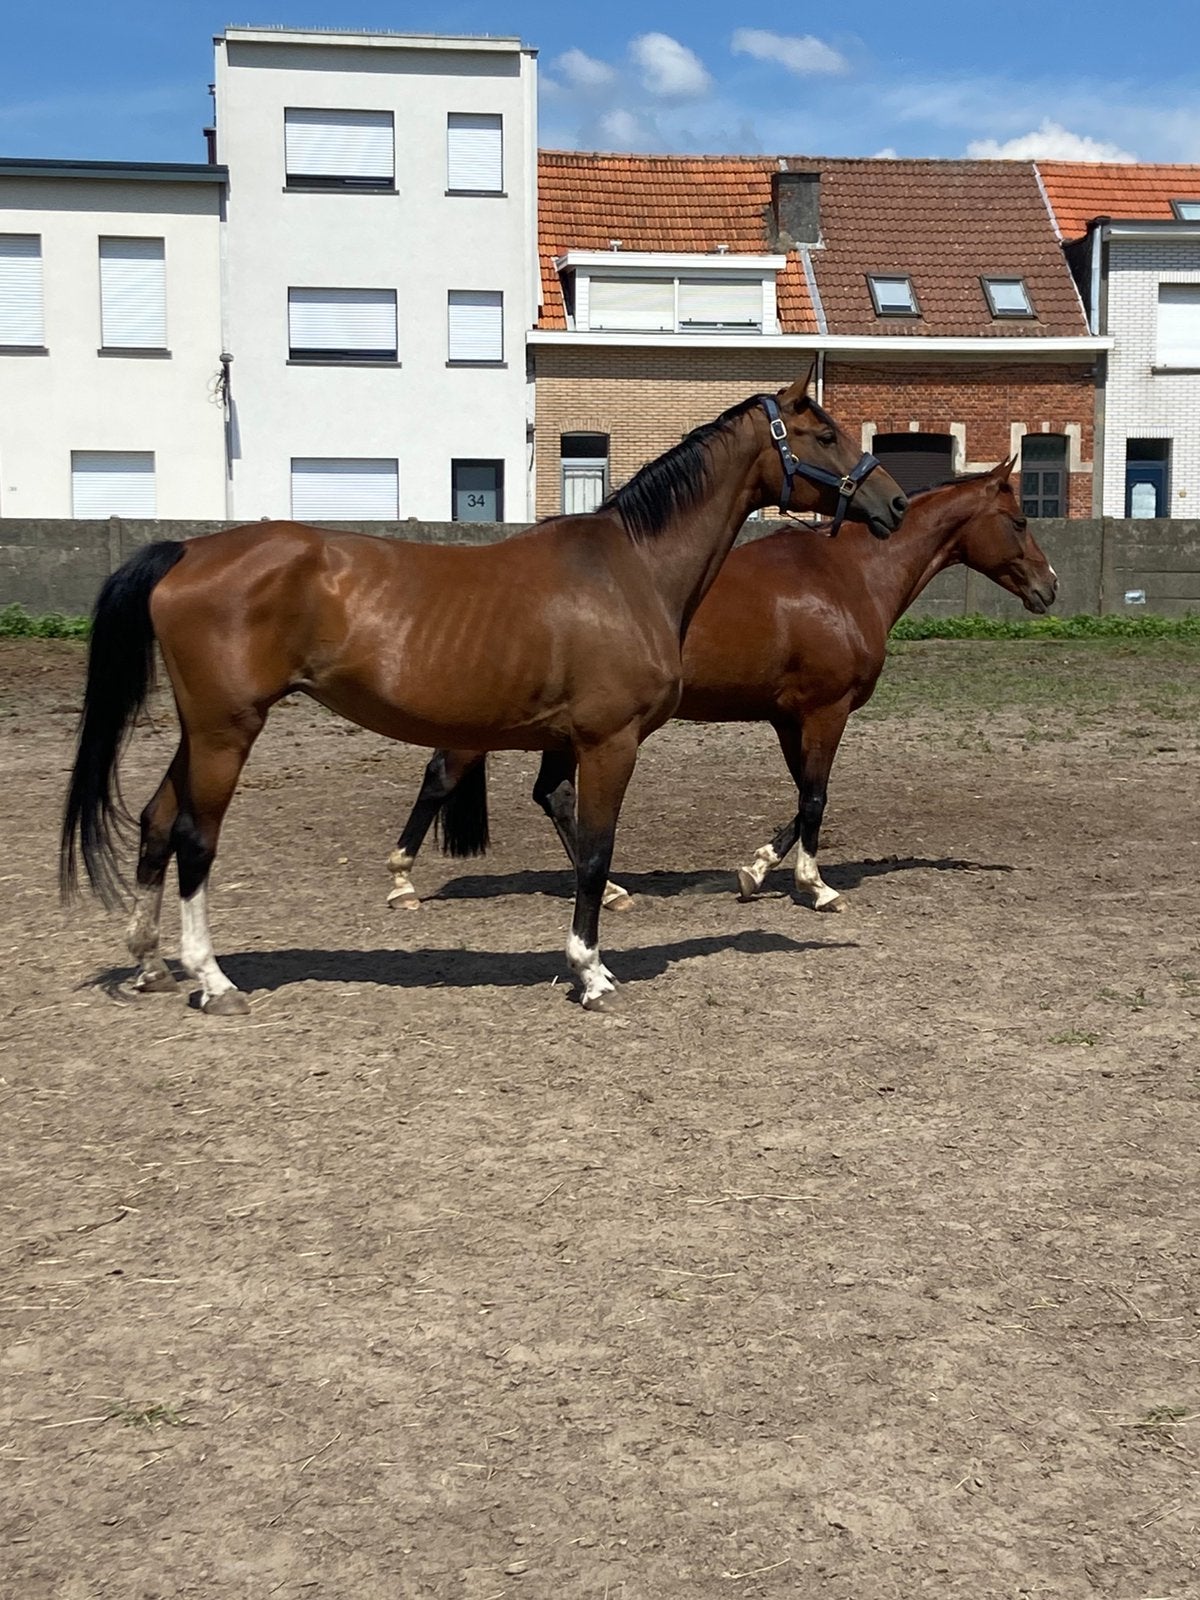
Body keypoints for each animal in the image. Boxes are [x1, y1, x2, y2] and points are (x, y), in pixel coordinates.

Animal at [60, 378, 906, 1014]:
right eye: (823, 433)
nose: (893, 504)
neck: (630, 569)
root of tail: (188, 550)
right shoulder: (610, 743)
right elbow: (598, 850)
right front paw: (590, 973)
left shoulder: (569, 742)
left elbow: (582, 843)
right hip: (227, 730)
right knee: (195, 838)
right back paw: (212, 979)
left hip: (201, 731)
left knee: (157, 821)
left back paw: (147, 963)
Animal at [387, 458, 1055, 916]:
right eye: (1020, 520)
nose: (1048, 587)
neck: (850, 576)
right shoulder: (827, 711)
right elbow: (817, 798)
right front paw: (815, 887)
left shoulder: (788, 717)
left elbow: (803, 798)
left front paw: (756, 870)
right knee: (444, 777)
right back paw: (402, 882)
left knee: (552, 795)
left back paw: (611, 889)